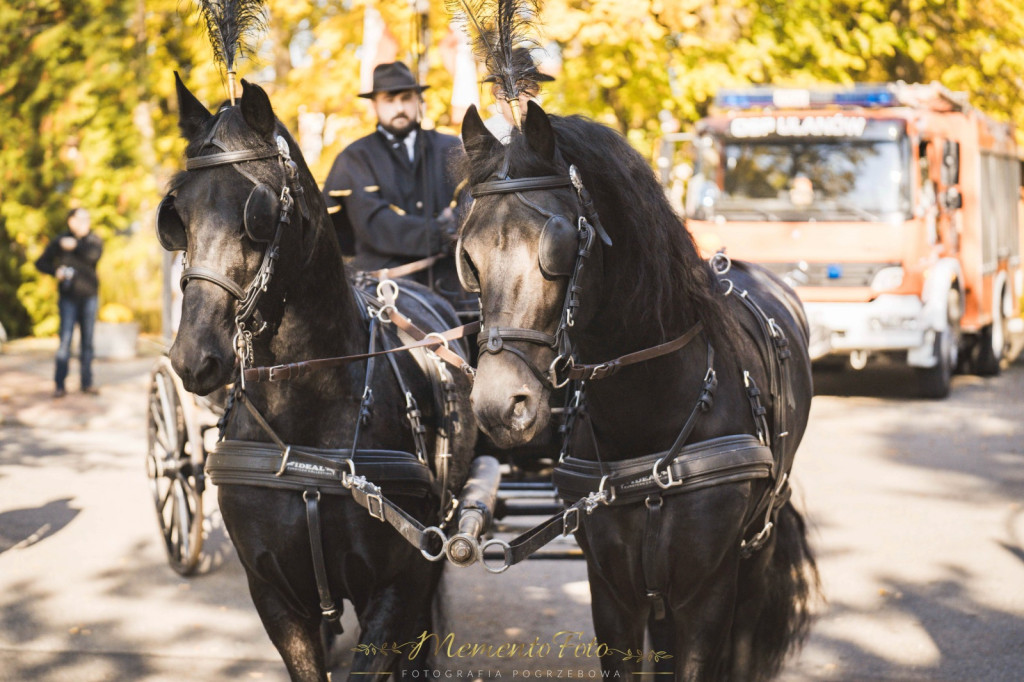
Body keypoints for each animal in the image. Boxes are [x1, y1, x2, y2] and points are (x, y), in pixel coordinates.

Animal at [161, 75, 477, 679]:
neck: (303, 411)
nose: (193, 356)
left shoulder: (399, 583)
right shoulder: (274, 594)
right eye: (177, 217)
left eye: (257, 213)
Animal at [456, 102, 815, 679]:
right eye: (469, 255)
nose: (498, 404)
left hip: (757, 546)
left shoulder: (707, 592)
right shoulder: (613, 592)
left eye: (557, 247)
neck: (647, 420)